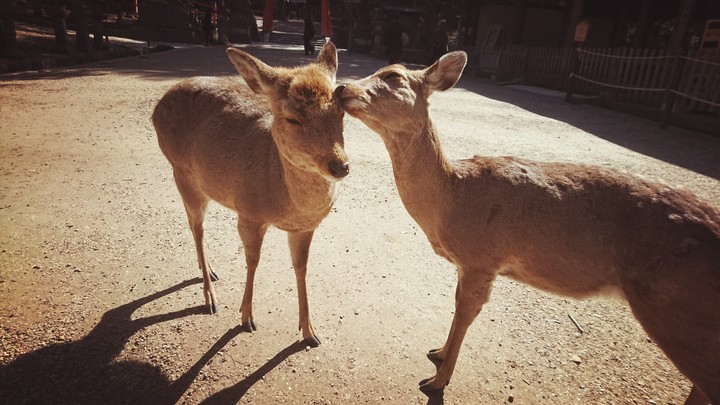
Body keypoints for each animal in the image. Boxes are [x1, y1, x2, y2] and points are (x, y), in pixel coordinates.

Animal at [152, 42, 349, 347]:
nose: (340, 166)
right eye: (292, 118)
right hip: (182, 174)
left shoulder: (305, 228)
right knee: (197, 227)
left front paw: (310, 332)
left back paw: (209, 271)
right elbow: (253, 261)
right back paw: (210, 298)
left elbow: (301, 267)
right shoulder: (249, 214)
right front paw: (246, 318)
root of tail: (156, 108)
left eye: (341, 111)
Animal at [337, 51, 720, 404]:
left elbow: (465, 313)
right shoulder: (468, 264)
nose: (342, 87)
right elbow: (457, 307)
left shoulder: (481, 258)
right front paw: (437, 353)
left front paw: (436, 380)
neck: (454, 198)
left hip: (675, 306)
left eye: (394, 76)